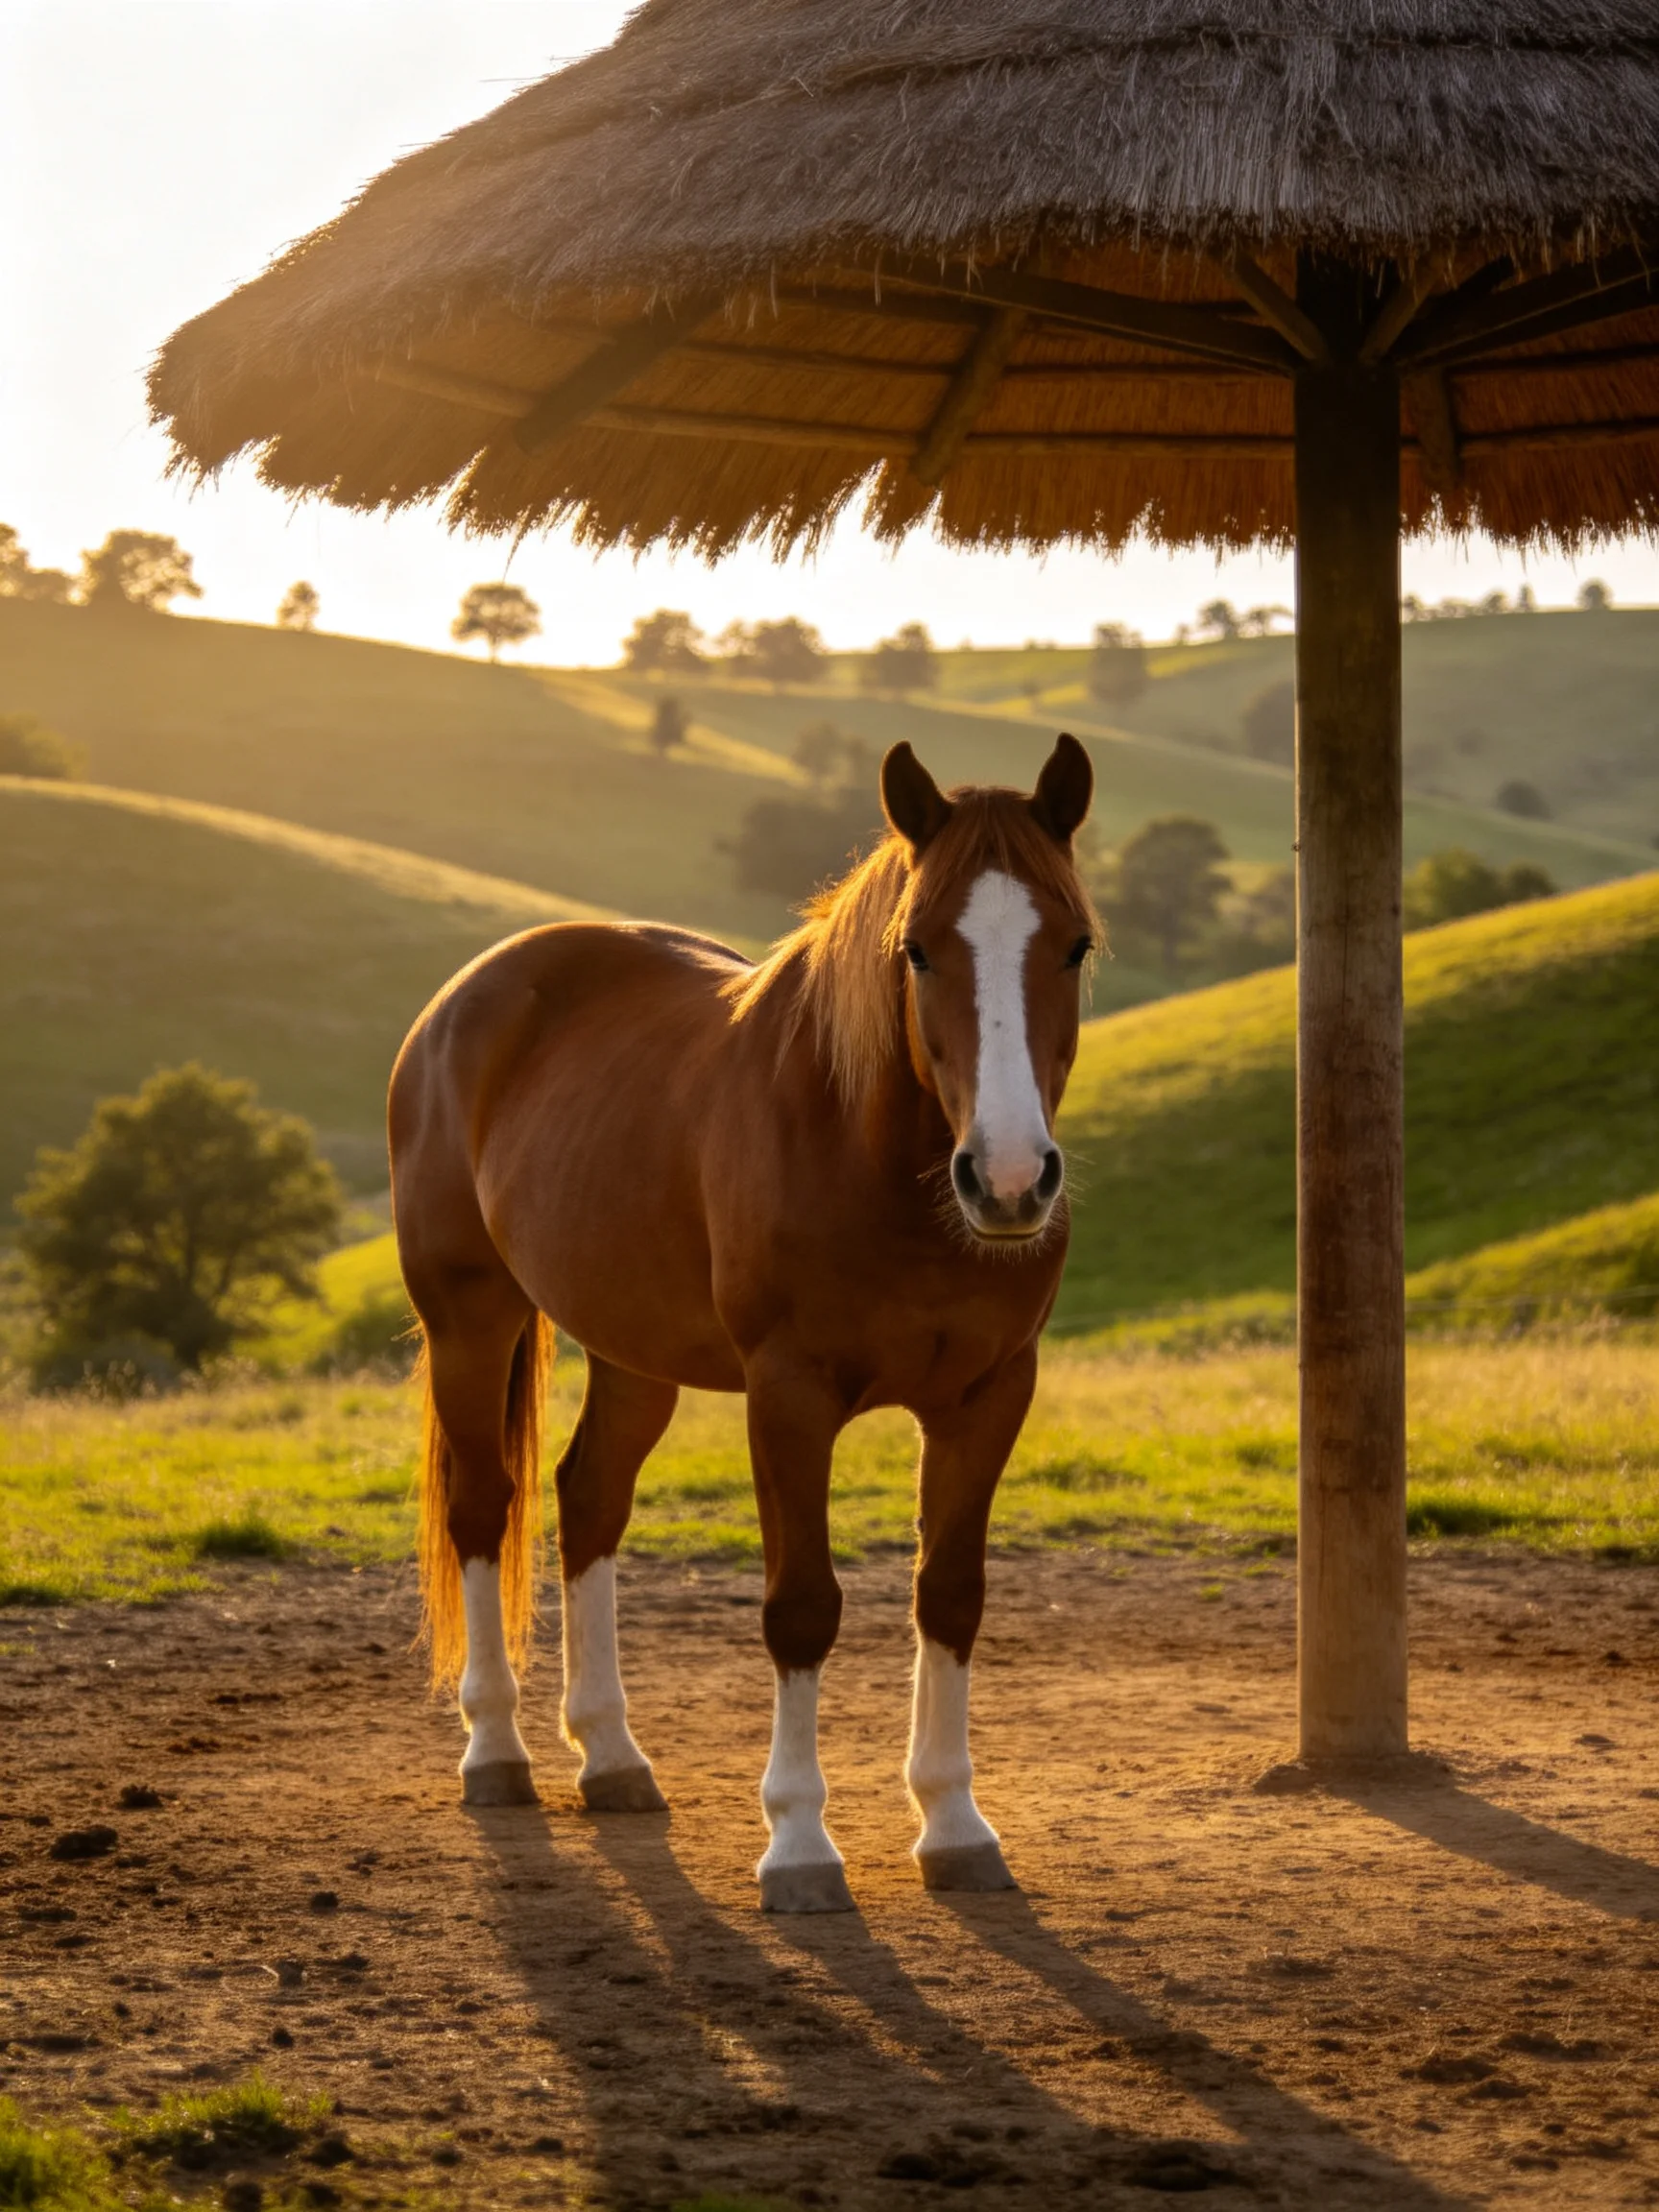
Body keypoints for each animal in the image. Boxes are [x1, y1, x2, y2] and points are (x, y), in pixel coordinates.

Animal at [389, 733, 1097, 1911]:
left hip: (633, 1352)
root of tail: (465, 998)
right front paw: (800, 1845)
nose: (1007, 1181)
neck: (879, 1164)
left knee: (588, 1498)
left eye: (1075, 946)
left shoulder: (988, 1394)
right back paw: (496, 1751)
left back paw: (611, 1757)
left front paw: (954, 1826)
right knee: (485, 1507)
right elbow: (801, 1605)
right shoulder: (789, 1395)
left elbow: (949, 1596)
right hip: (469, 1320)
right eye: (918, 952)